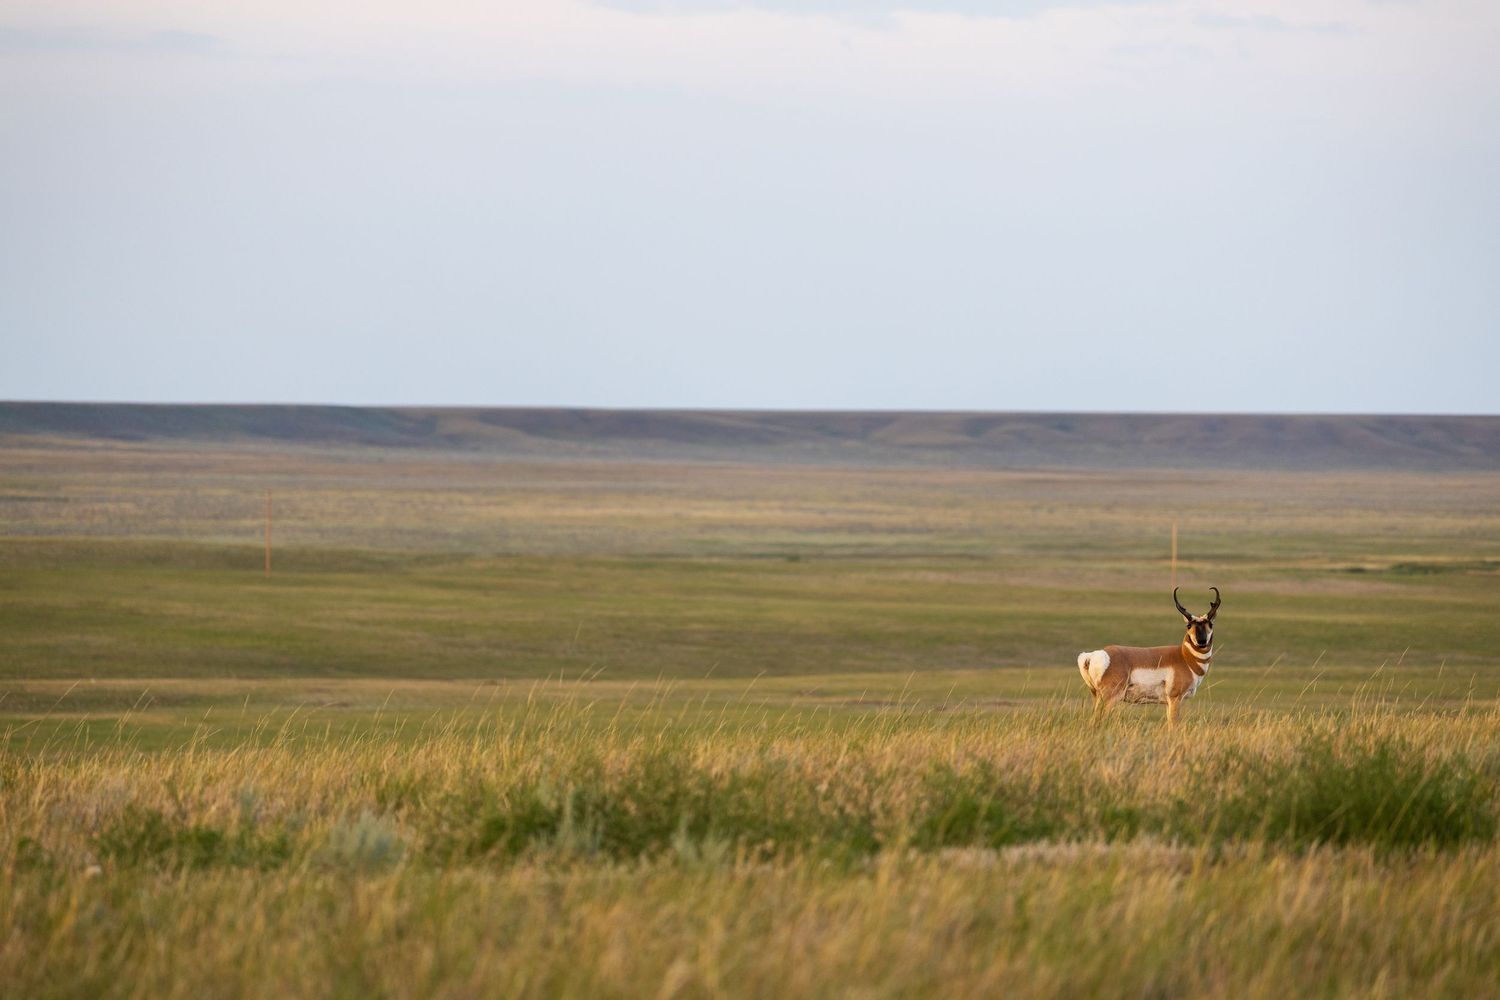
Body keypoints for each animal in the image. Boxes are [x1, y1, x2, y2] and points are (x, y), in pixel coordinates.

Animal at [1076, 587, 1220, 727]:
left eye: (1210, 624)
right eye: (1189, 625)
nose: (1201, 641)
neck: (1184, 657)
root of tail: (1093, 655)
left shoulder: (1168, 703)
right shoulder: (1175, 698)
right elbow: (1174, 726)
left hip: (1096, 695)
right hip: (1109, 698)